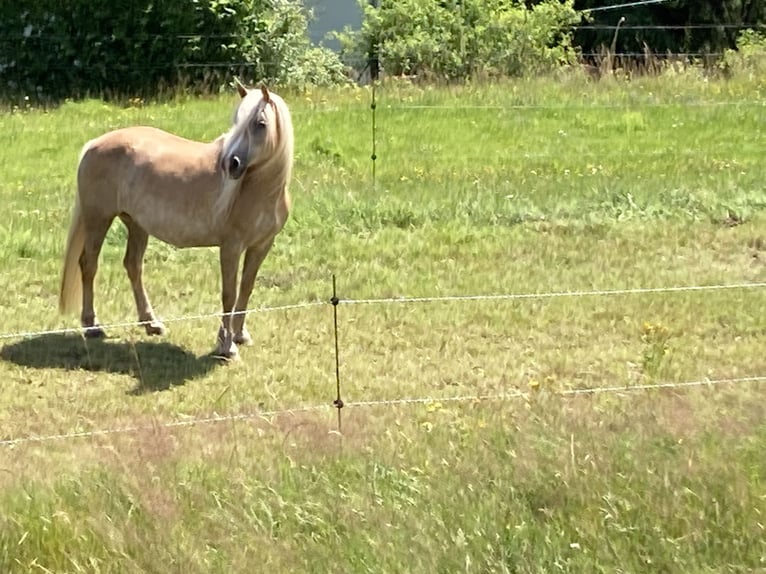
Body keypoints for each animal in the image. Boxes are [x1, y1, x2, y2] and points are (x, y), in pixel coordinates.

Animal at [57, 80, 294, 360]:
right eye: (236, 121)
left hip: (136, 225)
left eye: (260, 123)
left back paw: (151, 323)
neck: (257, 190)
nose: (231, 164)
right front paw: (226, 346)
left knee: (133, 265)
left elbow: (246, 289)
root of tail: (94, 144)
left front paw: (240, 335)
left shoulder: (261, 245)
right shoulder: (231, 247)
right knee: (89, 264)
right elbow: (229, 293)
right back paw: (92, 326)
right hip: (98, 219)